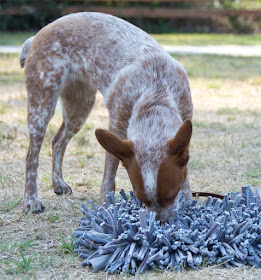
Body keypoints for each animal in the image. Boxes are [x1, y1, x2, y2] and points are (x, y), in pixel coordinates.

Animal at [20, 12, 192, 221]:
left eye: (171, 195)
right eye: (143, 199)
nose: (161, 223)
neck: (156, 92)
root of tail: (36, 35)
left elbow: (186, 177)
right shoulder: (116, 128)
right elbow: (108, 179)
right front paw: (104, 209)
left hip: (80, 107)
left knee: (58, 141)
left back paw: (58, 183)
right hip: (42, 105)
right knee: (31, 156)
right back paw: (31, 199)